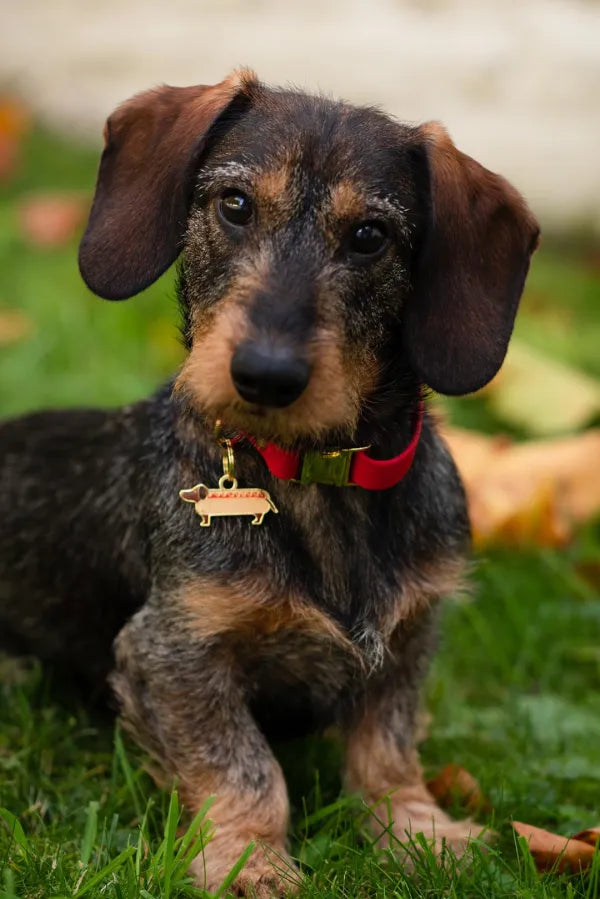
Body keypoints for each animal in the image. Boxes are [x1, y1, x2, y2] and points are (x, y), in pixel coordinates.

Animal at [0, 68, 540, 892]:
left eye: (369, 236)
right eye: (235, 204)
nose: (265, 374)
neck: (315, 475)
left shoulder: (410, 635)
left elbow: (387, 746)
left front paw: (419, 831)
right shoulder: (172, 652)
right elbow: (245, 767)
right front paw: (249, 860)